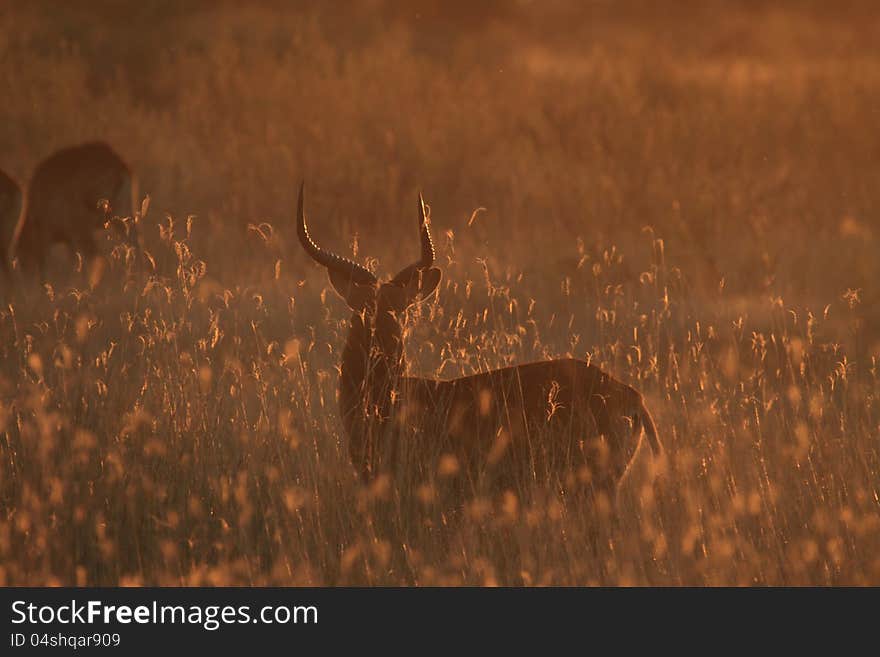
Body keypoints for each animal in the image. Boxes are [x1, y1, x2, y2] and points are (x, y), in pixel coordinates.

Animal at [9, 141, 139, 276]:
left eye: (22, 259)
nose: (26, 276)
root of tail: (118, 167)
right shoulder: (69, 239)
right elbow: (73, 262)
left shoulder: (48, 233)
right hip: (124, 216)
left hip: (83, 227)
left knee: (97, 258)